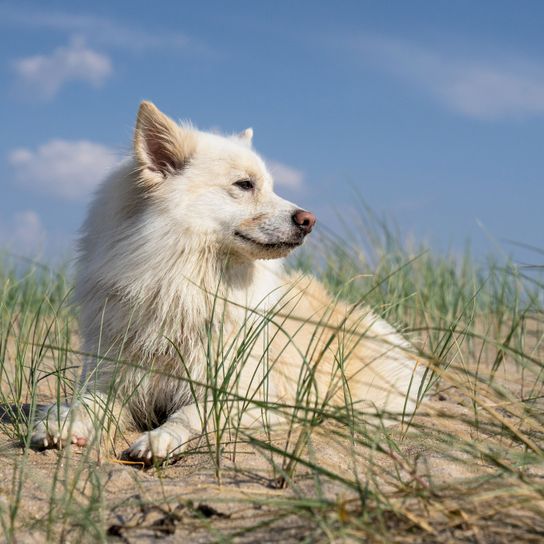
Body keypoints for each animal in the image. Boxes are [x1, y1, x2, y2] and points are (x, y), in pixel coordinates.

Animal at [31, 100, 428, 462]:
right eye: (244, 185)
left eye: (270, 187)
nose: (309, 220)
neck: (181, 287)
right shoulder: (114, 377)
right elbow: (86, 404)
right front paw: (61, 425)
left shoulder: (242, 394)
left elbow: (190, 413)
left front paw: (159, 439)